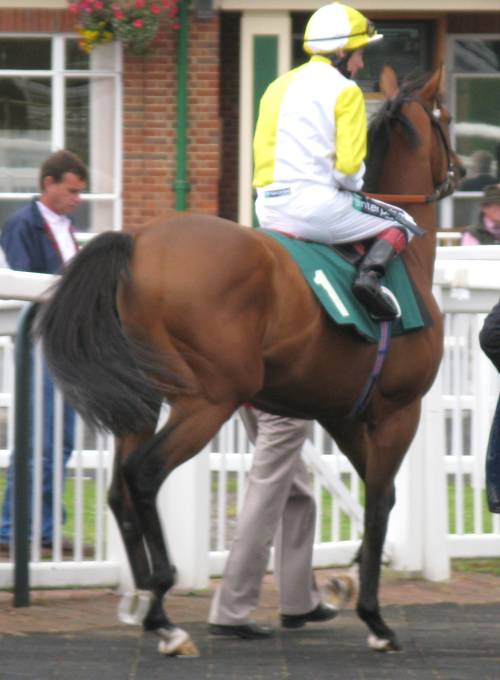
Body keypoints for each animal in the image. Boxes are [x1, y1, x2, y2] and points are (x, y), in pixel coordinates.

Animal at [37, 65, 463, 656]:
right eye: (445, 115)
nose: (464, 170)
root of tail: (138, 241)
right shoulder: (399, 411)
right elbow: (380, 505)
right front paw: (376, 620)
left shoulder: (342, 413)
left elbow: (383, 498)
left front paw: (348, 585)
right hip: (208, 399)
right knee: (143, 474)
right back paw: (164, 605)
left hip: (141, 400)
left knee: (120, 487)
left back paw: (149, 603)